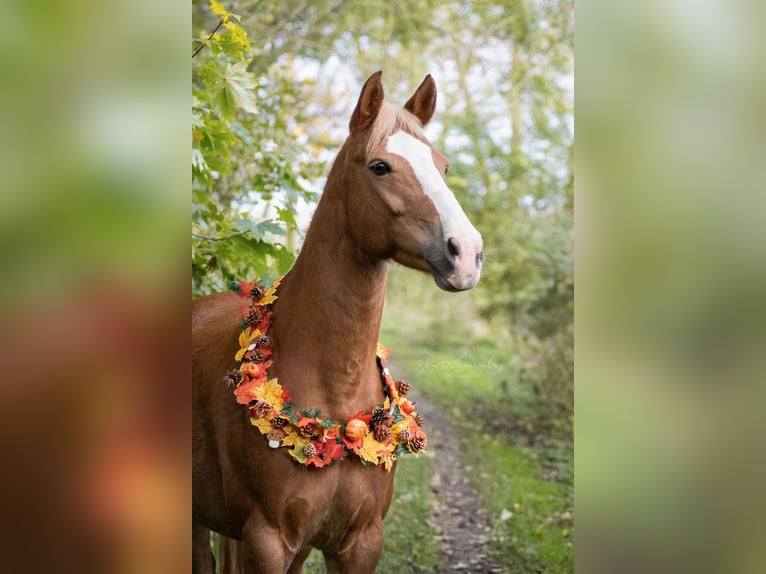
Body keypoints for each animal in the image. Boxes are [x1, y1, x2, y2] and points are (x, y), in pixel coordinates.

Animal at [192, 73, 484, 574]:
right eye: (380, 167)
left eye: (444, 167)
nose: (467, 252)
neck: (335, 390)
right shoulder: (266, 543)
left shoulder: (359, 541)